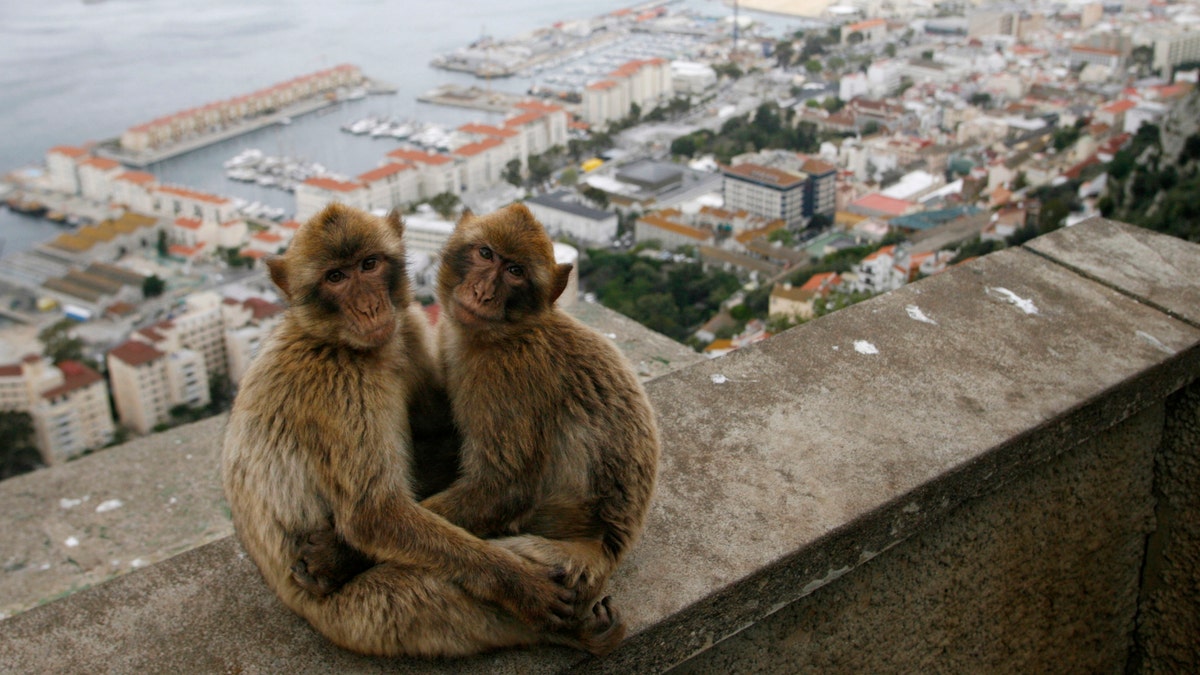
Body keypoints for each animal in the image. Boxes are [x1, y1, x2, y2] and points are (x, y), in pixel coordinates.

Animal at [220, 201, 624, 653]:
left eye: (369, 264)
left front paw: (335, 555)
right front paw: (522, 587)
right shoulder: (338, 384)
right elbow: (375, 516)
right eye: (335, 277)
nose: (368, 306)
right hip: (358, 617)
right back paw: (576, 629)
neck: (340, 343)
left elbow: (440, 438)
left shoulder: (407, 325)